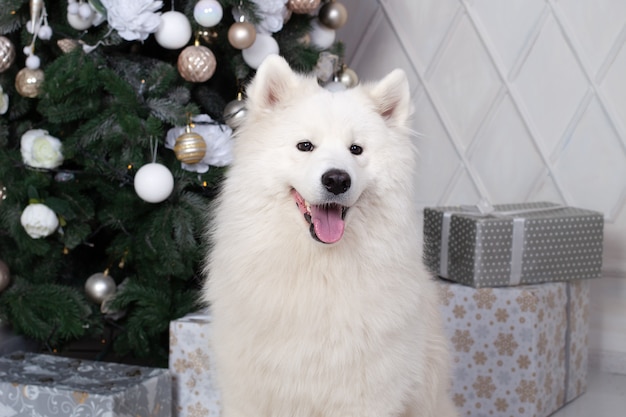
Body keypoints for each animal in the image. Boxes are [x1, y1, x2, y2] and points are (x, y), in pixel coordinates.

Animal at [202, 55, 456, 416]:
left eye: (356, 149)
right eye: (305, 146)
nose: (337, 180)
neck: (319, 269)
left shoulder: (363, 396)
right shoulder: (251, 393)